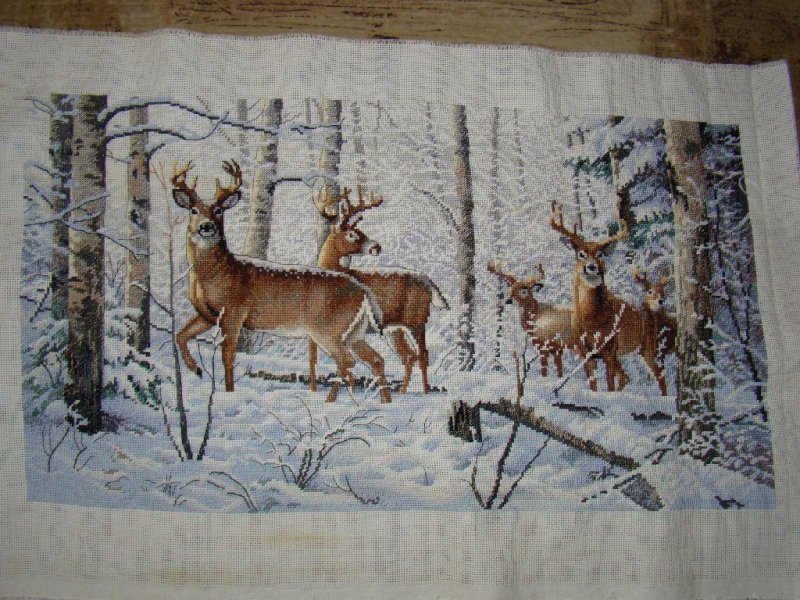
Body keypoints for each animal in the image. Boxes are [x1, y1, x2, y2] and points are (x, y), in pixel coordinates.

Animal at [171, 161, 394, 403]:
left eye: (218, 211)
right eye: (193, 210)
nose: (206, 226)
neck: (218, 275)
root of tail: (363, 291)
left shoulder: (234, 313)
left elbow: (227, 357)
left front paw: (228, 393)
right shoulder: (207, 315)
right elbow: (181, 335)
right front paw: (196, 369)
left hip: (327, 328)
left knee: (347, 360)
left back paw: (329, 401)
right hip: (354, 332)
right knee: (375, 359)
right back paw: (383, 402)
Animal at [309, 185, 449, 394]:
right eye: (352, 233)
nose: (377, 247)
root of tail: (428, 281)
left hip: (416, 319)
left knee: (422, 353)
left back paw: (424, 391)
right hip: (394, 329)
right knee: (408, 355)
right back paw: (403, 390)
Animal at [549, 201, 636, 392]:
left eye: (600, 254)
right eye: (581, 254)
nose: (592, 267)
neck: (591, 322)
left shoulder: (610, 349)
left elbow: (610, 385)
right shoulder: (585, 352)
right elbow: (593, 385)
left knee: (626, 377)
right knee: (625, 377)